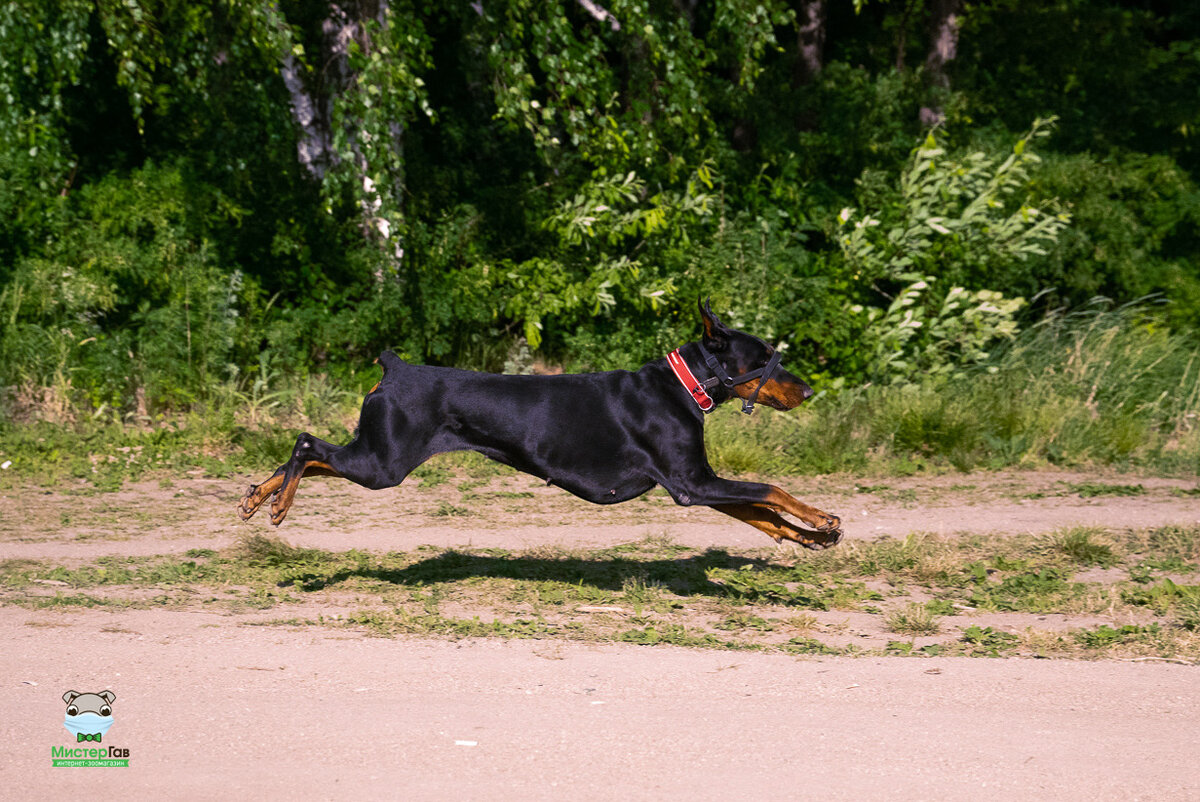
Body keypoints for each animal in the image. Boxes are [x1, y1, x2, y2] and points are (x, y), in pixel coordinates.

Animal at [236, 300, 844, 552]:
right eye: (763, 356)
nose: (809, 390)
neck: (683, 385)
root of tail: (394, 367)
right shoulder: (691, 483)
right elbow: (770, 489)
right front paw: (822, 518)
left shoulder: (697, 484)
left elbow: (761, 513)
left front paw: (810, 536)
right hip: (383, 462)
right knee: (307, 443)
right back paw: (279, 504)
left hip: (377, 454)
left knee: (312, 455)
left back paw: (257, 495)